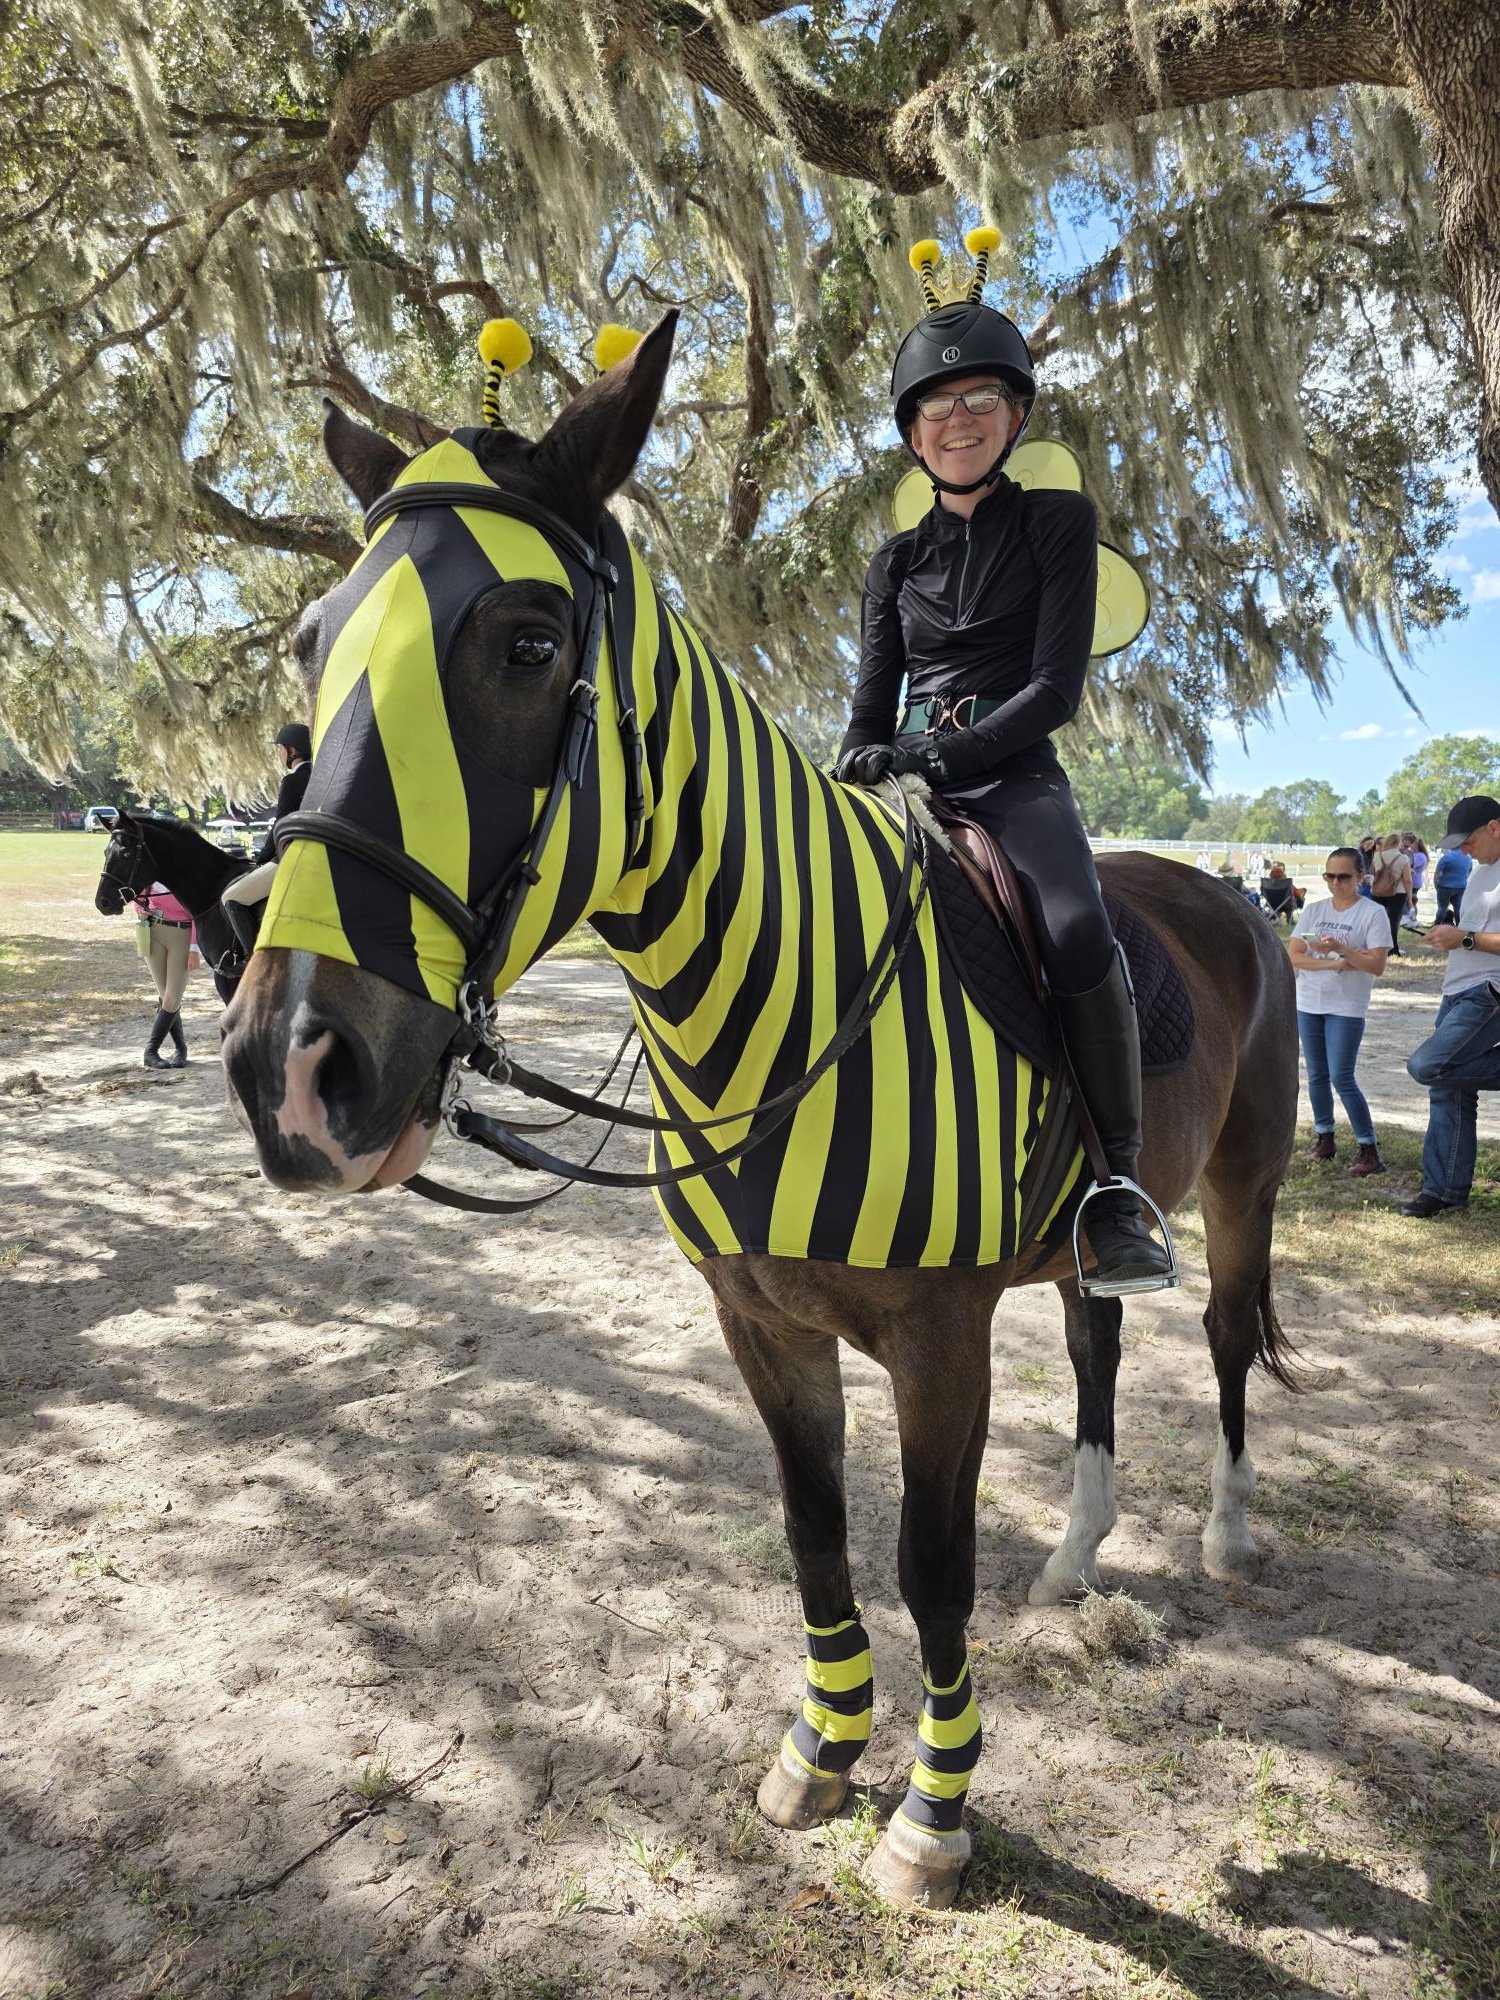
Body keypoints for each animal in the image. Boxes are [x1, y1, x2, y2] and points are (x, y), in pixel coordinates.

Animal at [220, 313, 1299, 1909]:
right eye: (312, 643)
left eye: (530, 641)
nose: (290, 1066)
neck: (792, 1010)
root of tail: (1232, 897)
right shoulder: (761, 1324)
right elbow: (814, 1535)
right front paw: (820, 1754)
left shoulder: (938, 1340)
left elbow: (926, 1566)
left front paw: (932, 1814)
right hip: (1093, 1231)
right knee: (1098, 1338)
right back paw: (1079, 1552)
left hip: (1240, 1186)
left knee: (1223, 1339)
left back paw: (1224, 1534)